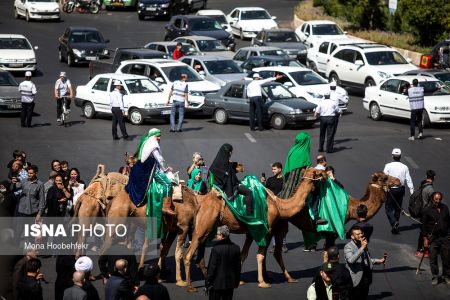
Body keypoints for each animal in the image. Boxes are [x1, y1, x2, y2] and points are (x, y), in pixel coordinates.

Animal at [182, 166, 326, 290]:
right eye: (317, 173)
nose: (325, 174)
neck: (279, 205)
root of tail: (200, 201)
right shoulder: (266, 230)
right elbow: (260, 255)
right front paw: (263, 282)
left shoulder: (251, 232)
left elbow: (243, 255)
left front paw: (239, 280)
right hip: (202, 227)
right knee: (188, 254)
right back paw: (190, 287)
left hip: (208, 228)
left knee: (199, 257)